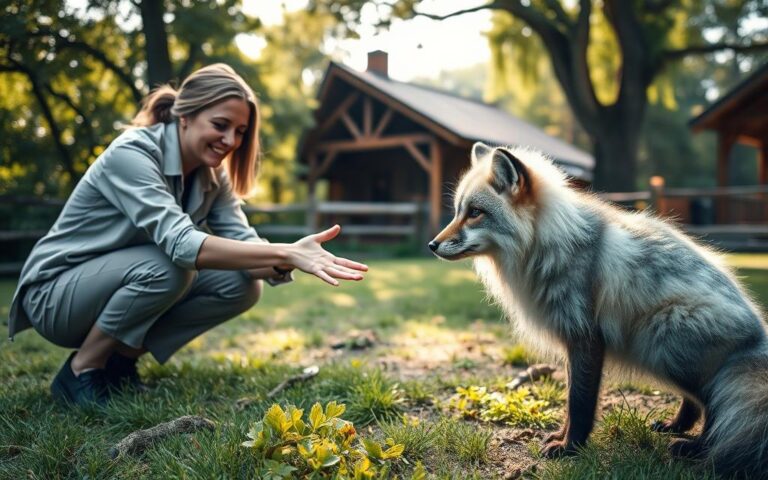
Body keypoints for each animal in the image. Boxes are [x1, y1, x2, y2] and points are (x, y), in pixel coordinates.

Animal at [429, 142, 768, 478]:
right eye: (458, 211)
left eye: (475, 213)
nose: (432, 245)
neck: (547, 243)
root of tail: (758, 339)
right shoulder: (574, 340)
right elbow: (571, 401)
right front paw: (561, 438)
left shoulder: (585, 336)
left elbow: (579, 402)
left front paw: (570, 448)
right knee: (699, 403)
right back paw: (676, 427)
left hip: (660, 337)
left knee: (715, 407)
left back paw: (700, 449)